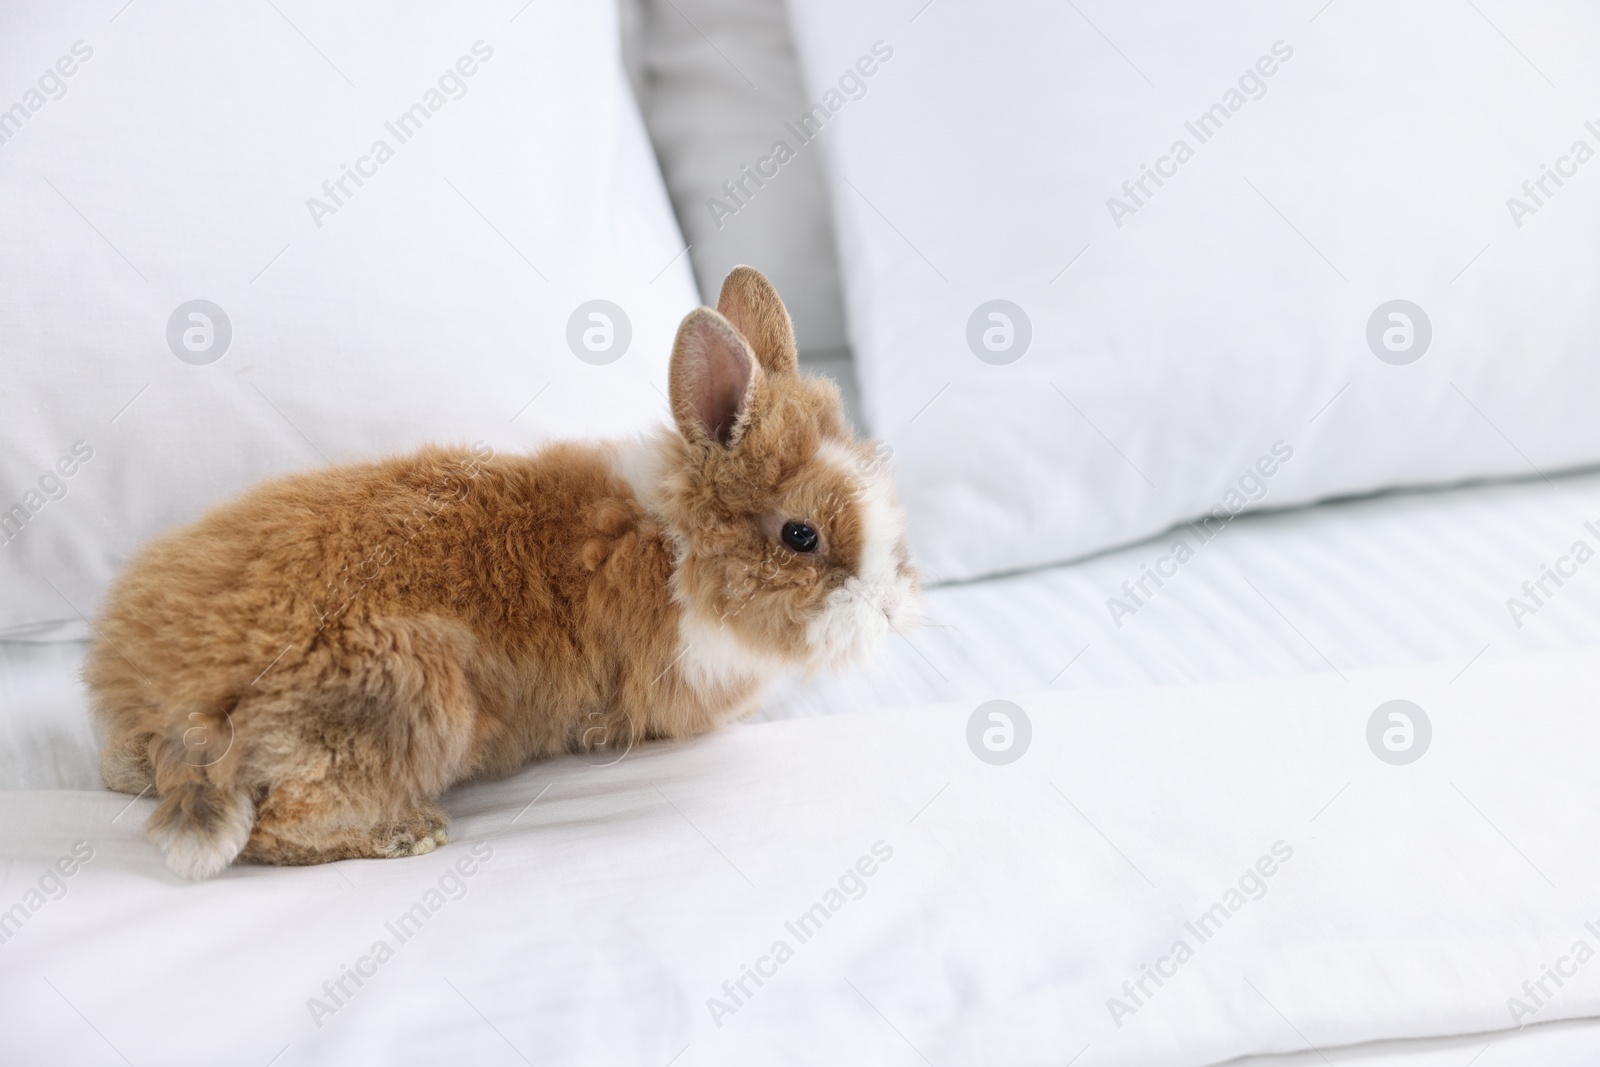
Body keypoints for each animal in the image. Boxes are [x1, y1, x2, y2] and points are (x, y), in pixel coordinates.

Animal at [87, 267, 921, 876]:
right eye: (801, 534)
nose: (893, 608)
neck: (678, 548)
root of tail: (166, 699)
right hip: (408, 697)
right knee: (276, 829)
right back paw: (410, 834)